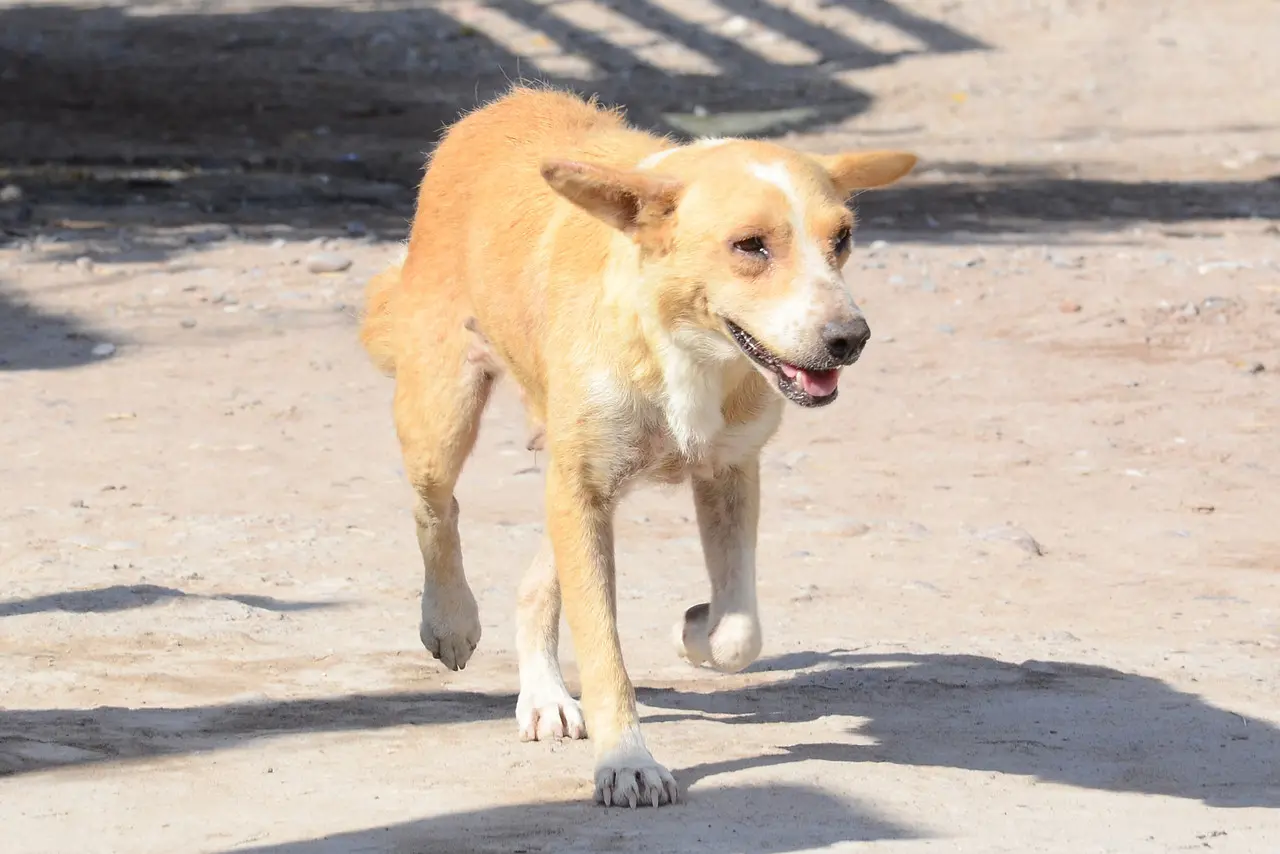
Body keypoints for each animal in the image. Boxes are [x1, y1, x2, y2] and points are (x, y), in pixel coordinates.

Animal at [358, 85, 921, 809]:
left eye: (842, 238)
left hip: (583, 477)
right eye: (751, 245)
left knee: (535, 581)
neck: (681, 342)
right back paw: (450, 620)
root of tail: (505, 101)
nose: (850, 338)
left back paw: (543, 696)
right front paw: (626, 762)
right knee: (435, 506)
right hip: (445, 412)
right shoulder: (583, 486)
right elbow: (604, 652)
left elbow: (739, 631)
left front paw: (696, 629)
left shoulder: (725, 472)